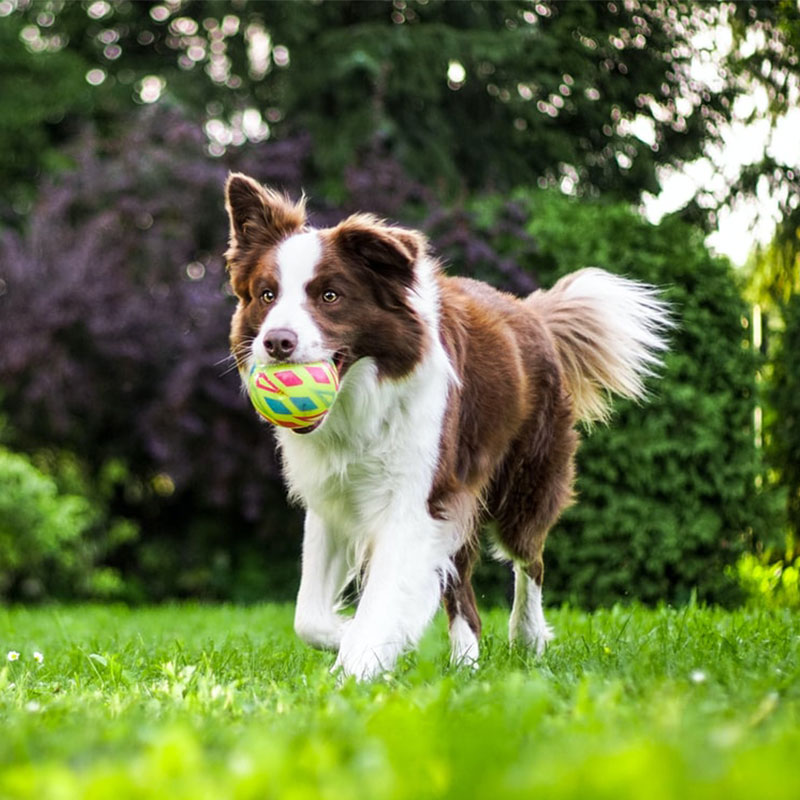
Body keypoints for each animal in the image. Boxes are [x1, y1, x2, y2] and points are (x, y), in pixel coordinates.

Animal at [222, 172, 672, 680]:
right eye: (267, 295)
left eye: (330, 296)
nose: (277, 342)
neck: (361, 400)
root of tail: (531, 313)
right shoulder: (334, 498)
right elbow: (308, 617)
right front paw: (352, 636)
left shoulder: (416, 499)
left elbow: (383, 597)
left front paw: (358, 664)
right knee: (463, 592)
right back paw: (466, 664)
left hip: (523, 483)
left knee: (530, 560)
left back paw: (527, 637)